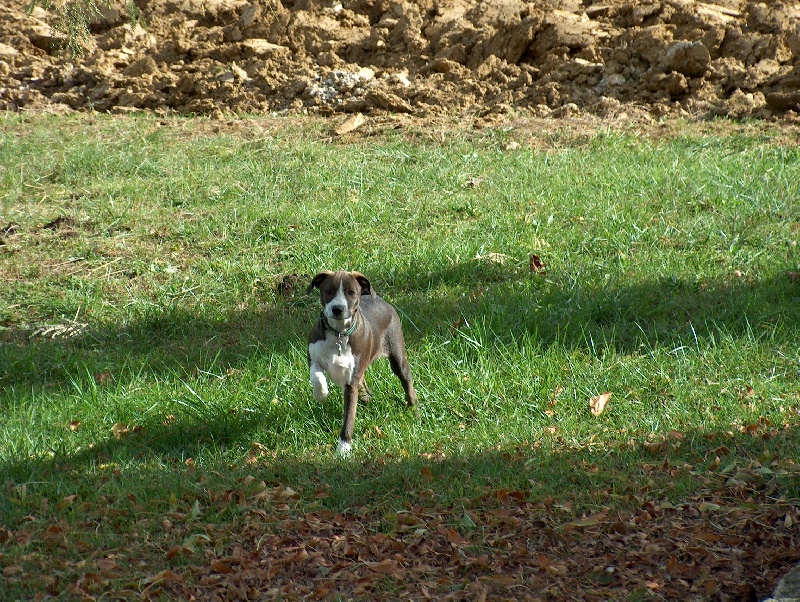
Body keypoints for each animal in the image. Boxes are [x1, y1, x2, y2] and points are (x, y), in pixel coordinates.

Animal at [306, 270, 418, 452]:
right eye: (328, 291)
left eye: (351, 292)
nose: (337, 309)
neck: (338, 334)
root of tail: (380, 300)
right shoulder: (312, 356)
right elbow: (316, 376)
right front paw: (321, 395)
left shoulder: (351, 383)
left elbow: (348, 418)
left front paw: (343, 450)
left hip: (397, 356)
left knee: (407, 380)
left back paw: (414, 408)